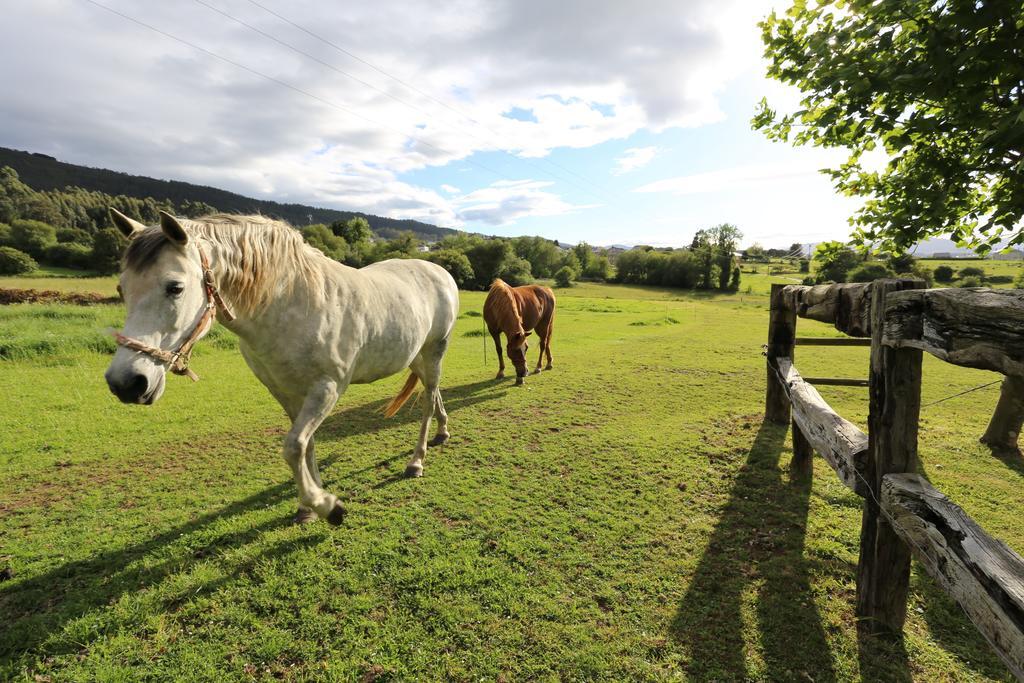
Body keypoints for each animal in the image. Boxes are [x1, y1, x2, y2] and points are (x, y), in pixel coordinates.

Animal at [103, 210, 456, 528]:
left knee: (427, 400)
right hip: (416, 354)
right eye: (122, 289)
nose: (126, 383)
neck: (292, 303)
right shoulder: (283, 389)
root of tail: (440, 271)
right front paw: (308, 506)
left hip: (435, 349)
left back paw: (416, 461)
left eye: (174, 287)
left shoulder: (327, 388)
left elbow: (293, 446)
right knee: (433, 389)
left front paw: (329, 507)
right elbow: (305, 445)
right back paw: (442, 431)